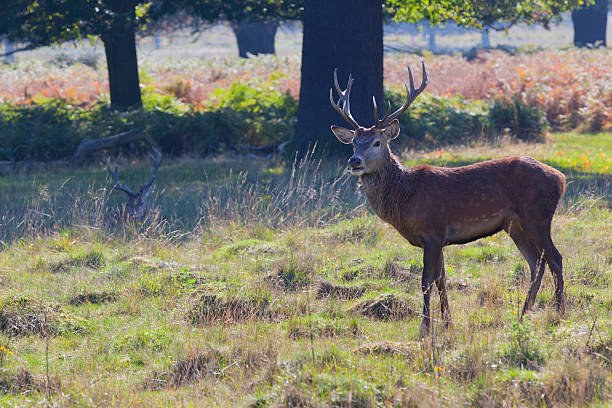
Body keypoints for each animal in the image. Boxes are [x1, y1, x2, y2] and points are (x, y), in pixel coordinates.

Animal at [332, 62, 568, 334]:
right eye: (353, 142)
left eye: (377, 142)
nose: (354, 161)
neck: (405, 197)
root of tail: (560, 178)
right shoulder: (440, 237)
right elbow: (441, 279)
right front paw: (447, 322)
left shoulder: (433, 232)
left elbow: (426, 280)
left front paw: (425, 327)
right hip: (514, 225)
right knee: (536, 263)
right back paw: (523, 315)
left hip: (537, 216)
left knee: (555, 258)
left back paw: (559, 312)